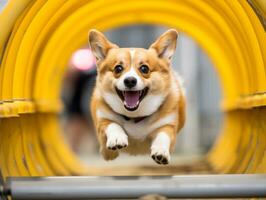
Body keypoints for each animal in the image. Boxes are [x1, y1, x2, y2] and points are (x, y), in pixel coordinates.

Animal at [89, 28, 185, 166]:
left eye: (144, 68)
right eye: (118, 68)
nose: (130, 80)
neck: (135, 116)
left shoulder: (168, 126)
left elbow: (163, 135)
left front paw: (161, 152)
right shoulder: (103, 121)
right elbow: (113, 124)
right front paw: (117, 139)